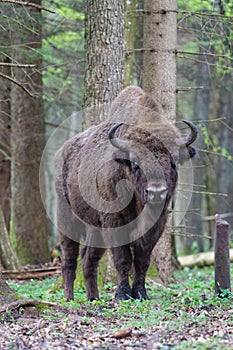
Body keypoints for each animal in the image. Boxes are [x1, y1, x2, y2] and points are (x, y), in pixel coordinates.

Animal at [54, 85, 197, 300]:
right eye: (135, 163)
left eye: (173, 162)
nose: (157, 193)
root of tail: (61, 152)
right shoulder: (114, 222)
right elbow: (123, 258)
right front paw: (122, 294)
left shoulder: (156, 225)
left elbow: (142, 260)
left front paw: (140, 292)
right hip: (67, 219)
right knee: (69, 258)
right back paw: (69, 298)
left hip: (94, 227)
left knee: (88, 258)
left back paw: (93, 298)